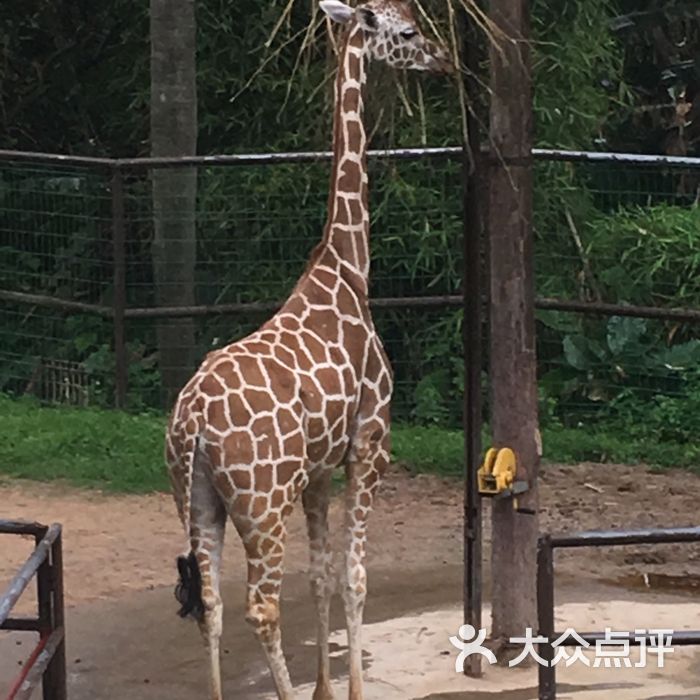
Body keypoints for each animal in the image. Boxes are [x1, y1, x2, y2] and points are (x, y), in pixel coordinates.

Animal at [165, 2, 448, 696]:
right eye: (405, 31)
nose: (443, 59)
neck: (347, 267)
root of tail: (192, 425)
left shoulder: (318, 471)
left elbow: (321, 577)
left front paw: (325, 686)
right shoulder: (370, 444)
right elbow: (354, 577)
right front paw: (345, 689)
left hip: (197, 498)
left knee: (210, 603)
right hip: (263, 505)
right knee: (260, 606)